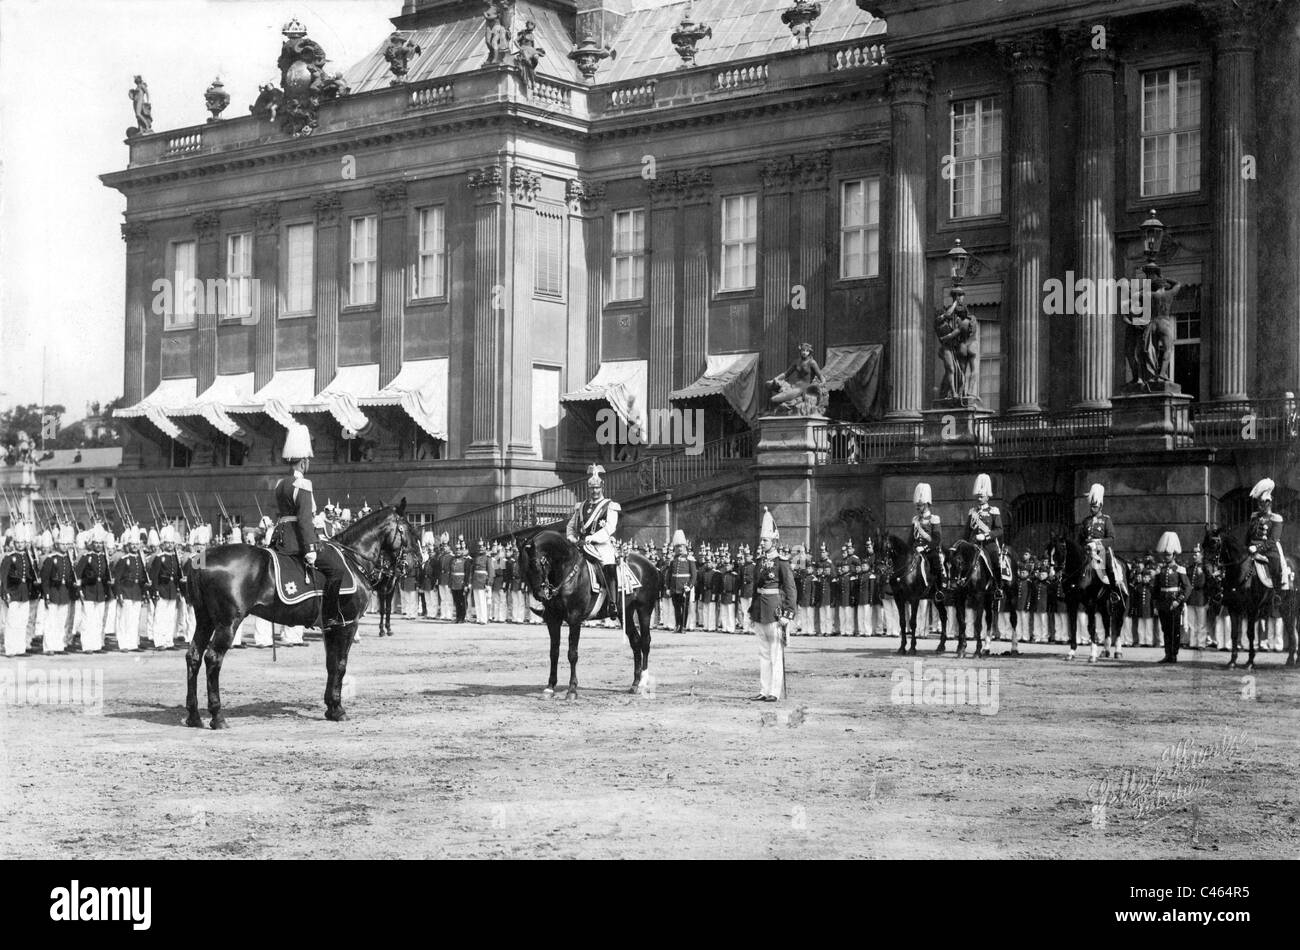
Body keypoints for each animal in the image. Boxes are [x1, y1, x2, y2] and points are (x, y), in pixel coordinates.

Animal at [185, 499, 418, 727]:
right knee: (213, 658)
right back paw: (217, 716)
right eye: (409, 528)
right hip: (228, 623)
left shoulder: (331, 626)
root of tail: (202, 558)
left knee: (193, 656)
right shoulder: (348, 624)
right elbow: (340, 665)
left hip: (205, 621)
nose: (415, 564)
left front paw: (331, 707)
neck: (353, 559)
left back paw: (193, 715)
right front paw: (338, 709)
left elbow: (331, 664)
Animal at [514, 530, 660, 701]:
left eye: (535, 564)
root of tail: (650, 564)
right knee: (635, 642)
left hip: (645, 610)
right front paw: (550, 687)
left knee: (645, 642)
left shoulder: (574, 619)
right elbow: (554, 653)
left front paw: (572, 690)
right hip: (625, 613)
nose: (540, 595)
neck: (566, 570)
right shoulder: (553, 620)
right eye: (521, 568)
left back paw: (643, 682)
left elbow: (572, 654)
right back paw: (635, 684)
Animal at [1201, 525, 1274, 670]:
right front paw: (1233, 661)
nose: (1206, 570)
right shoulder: (1234, 608)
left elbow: (1250, 634)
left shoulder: (1252, 609)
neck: (1239, 572)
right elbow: (1234, 633)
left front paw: (1250, 662)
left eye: (1214, 543)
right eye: (1203, 545)